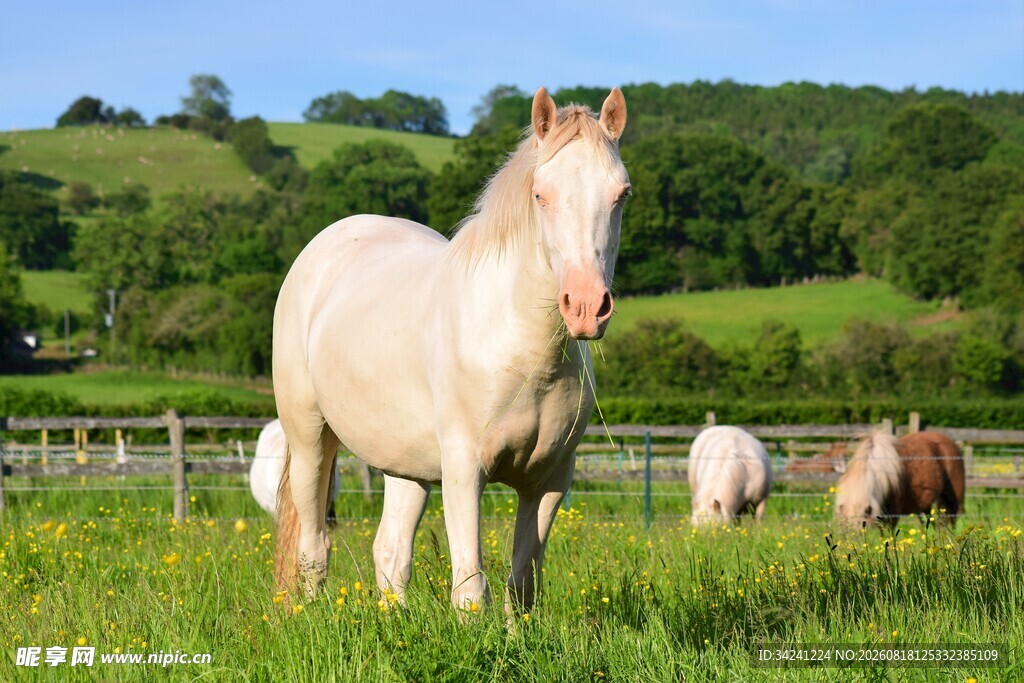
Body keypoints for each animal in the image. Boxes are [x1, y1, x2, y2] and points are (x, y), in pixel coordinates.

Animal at [273, 87, 630, 612]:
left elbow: (522, 585)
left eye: (622, 194)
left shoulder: (548, 482)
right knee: (314, 549)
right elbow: (470, 589)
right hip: (310, 441)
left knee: (390, 554)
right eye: (540, 194)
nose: (586, 306)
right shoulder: (464, 473)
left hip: (405, 466)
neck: (521, 354)